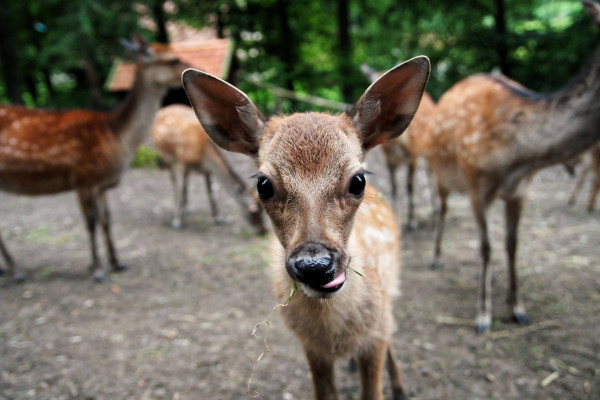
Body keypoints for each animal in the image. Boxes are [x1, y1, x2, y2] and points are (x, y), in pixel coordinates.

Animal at [0, 36, 189, 282]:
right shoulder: (83, 178)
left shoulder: (101, 184)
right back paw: (16, 270)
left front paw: (117, 263)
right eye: (172, 59)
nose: (193, 67)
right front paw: (97, 269)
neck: (116, 138)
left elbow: (107, 220)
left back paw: (9, 268)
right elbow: (90, 223)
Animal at [150, 104, 264, 233]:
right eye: (253, 212)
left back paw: (187, 209)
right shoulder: (183, 162)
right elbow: (182, 189)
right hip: (165, 155)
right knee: (174, 180)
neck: (204, 154)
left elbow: (210, 192)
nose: (262, 231)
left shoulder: (207, 171)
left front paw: (218, 218)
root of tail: (161, 110)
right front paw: (177, 221)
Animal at [360, 64, 436, 230]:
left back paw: (435, 207)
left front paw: (412, 221)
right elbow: (394, 188)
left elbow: (409, 186)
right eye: (370, 80)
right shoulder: (390, 162)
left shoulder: (413, 156)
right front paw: (397, 220)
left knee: (430, 171)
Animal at [422, 0, 600, 332]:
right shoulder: (476, 185)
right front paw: (483, 315)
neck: (517, 159)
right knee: (442, 208)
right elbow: (486, 247)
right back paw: (435, 257)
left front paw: (517, 307)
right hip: (441, 173)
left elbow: (512, 244)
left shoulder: (521, 189)